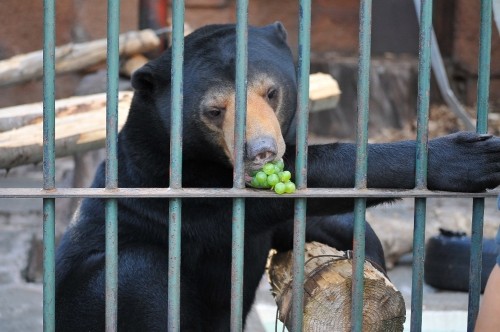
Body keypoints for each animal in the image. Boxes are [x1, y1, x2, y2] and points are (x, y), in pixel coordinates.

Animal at [53, 22, 500, 330]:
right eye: (214, 111)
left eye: (271, 92)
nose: (261, 151)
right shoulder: (168, 180)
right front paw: (469, 158)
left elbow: (297, 222)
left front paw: (367, 253)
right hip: (88, 298)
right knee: (135, 275)